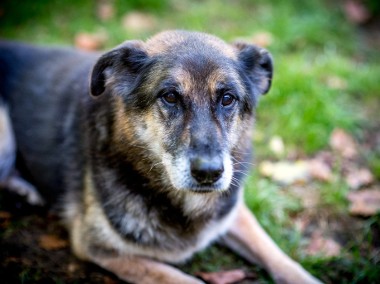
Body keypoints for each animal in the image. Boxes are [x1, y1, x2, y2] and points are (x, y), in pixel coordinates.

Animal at [0, 30, 320, 282]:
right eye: (170, 97)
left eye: (227, 98)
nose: (208, 173)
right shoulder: (99, 247)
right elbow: (185, 280)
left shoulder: (234, 213)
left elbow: (280, 258)